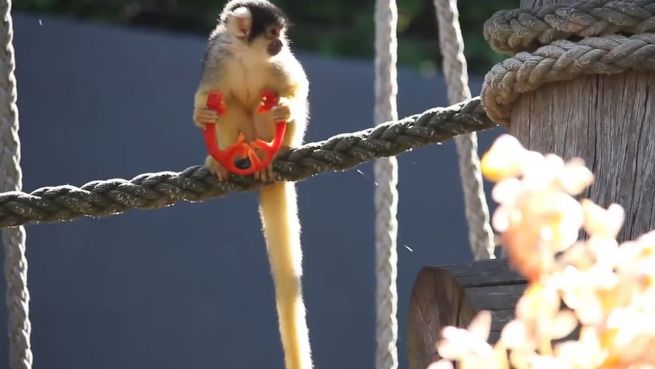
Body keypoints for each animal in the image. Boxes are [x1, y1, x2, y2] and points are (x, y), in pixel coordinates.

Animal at [192, 1, 312, 366]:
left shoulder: (279, 63)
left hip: (275, 136)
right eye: (273, 33)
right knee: (228, 102)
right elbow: (208, 94)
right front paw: (200, 115)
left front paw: (285, 107)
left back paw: (274, 154)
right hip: (242, 135)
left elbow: (297, 86)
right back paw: (224, 161)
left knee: (266, 99)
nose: (281, 43)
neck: (247, 54)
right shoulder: (217, 54)